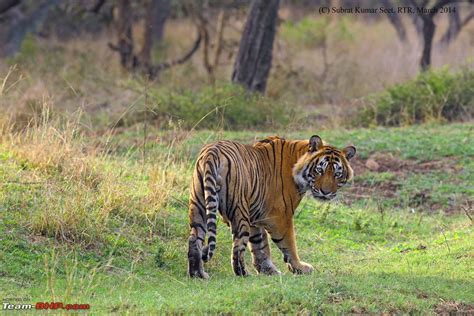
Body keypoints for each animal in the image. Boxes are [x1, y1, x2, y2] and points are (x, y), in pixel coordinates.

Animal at [187, 135, 354, 278]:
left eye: (337, 174)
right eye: (320, 170)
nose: (326, 192)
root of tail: (212, 152)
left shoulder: (256, 215)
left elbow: (259, 244)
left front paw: (268, 270)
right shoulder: (280, 216)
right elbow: (289, 243)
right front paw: (299, 267)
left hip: (199, 204)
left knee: (194, 238)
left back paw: (198, 274)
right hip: (239, 210)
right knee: (238, 244)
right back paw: (243, 273)